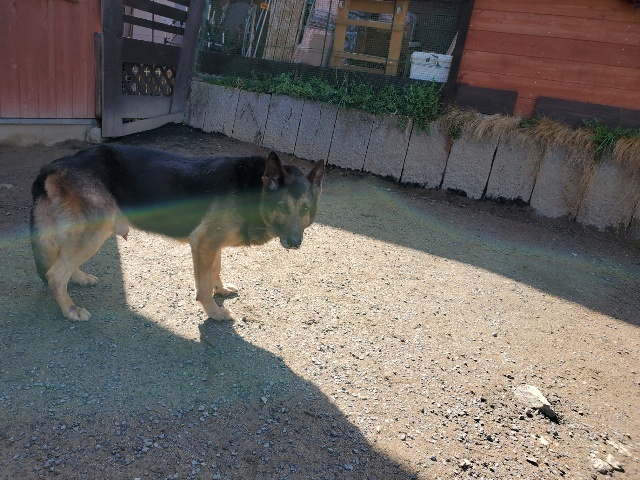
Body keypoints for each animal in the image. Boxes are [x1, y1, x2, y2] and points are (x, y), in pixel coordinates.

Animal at [30, 144, 324, 322]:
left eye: (306, 209)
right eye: (282, 207)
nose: (295, 243)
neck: (254, 188)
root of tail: (53, 165)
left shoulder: (213, 246)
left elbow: (215, 270)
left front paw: (220, 289)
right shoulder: (203, 245)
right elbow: (203, 288)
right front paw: (214, 312)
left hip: (85, 233)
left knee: (62, 262)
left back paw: (79, 278)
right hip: (95, 232)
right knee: (55, 274)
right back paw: (70, 309)